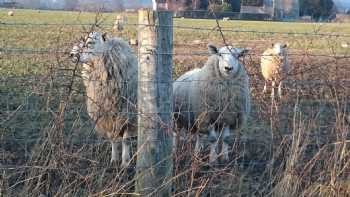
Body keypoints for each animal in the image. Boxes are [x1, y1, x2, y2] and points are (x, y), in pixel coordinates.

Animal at [70, 31, 138, 167]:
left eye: (90, 42)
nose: (72, 54)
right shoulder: (106, 116)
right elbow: (112, 139)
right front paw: (114, 159)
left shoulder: (128, 116)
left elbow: (126, 140)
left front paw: (125, 162)